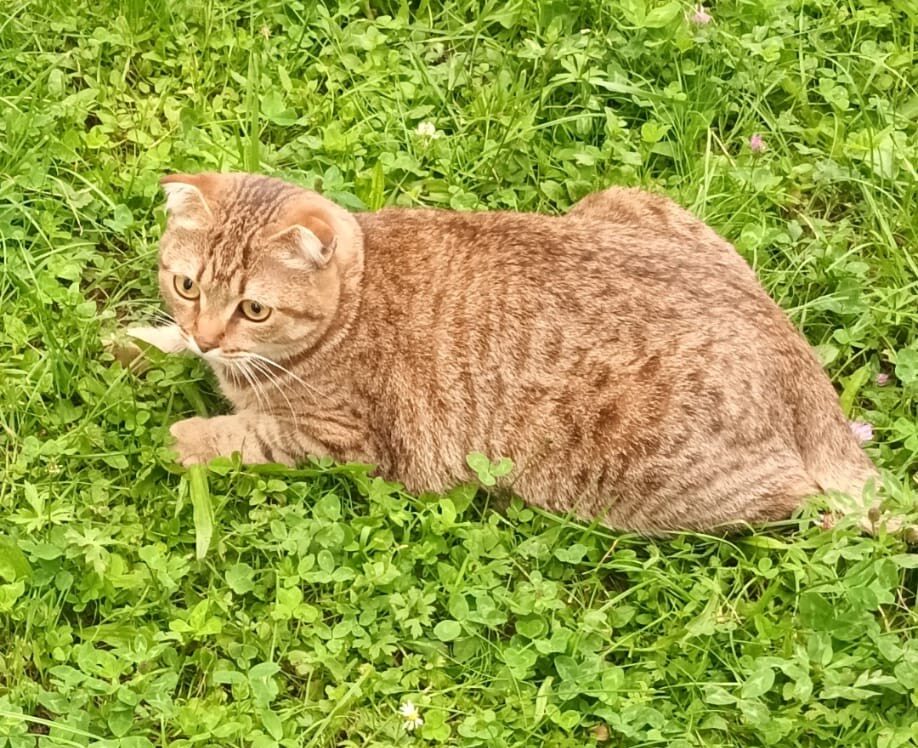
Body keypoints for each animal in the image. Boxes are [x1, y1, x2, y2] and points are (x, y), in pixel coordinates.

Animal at [133, 171, 880, 533]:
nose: (208, 336)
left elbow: (251, 435)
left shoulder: (347, 441)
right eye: (187, 285)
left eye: (254, 309)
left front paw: (187, 436)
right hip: (626, 198)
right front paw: (147, 342)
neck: (353, 295)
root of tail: (789, 350)